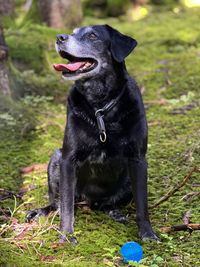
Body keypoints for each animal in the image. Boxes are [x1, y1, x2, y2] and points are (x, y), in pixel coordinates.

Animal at [25, 25, 159, 243]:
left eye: (92, 35)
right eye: (73, 32)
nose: (59, 37)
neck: (100, 107)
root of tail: (87, 200)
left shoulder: (138, 160)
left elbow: (142, 205)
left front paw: (147, 233)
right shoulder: (68, 159)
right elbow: (66, 206)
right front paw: (66, 235)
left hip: (127, 180)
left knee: (104, 204)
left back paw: (115, 212)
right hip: (55, 158)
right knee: (57, 203)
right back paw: (40, 212)